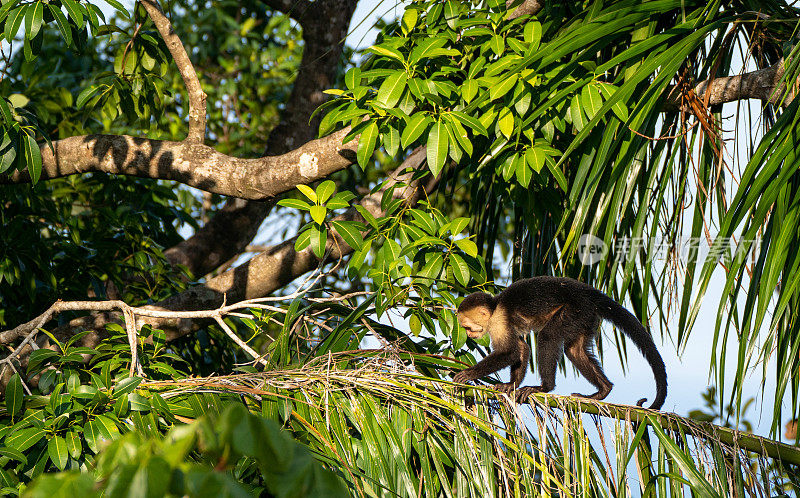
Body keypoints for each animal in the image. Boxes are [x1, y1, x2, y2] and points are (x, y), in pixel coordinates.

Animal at [450, 276, 668, 408]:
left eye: (467, 327)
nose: (468, 335)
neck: (495, 307)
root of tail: (588, 292)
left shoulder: (498, 322)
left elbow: (510, 352)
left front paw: (469, 373)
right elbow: (522, 349)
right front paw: (510, 385)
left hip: (575, 308)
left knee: (548, 336)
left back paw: (544, 387)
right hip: (586, 316)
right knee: (574, 350)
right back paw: (602, 391)